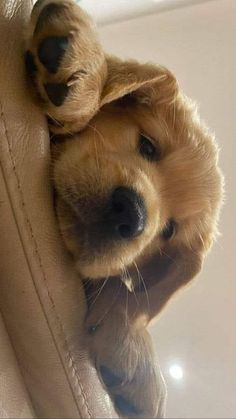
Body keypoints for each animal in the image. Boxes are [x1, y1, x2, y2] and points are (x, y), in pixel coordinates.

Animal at [25, 1, 223, 418]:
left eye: (168, 231)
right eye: (148, 145)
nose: (131, 215)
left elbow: (118, 288)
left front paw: (134, 354)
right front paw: (84, 68)